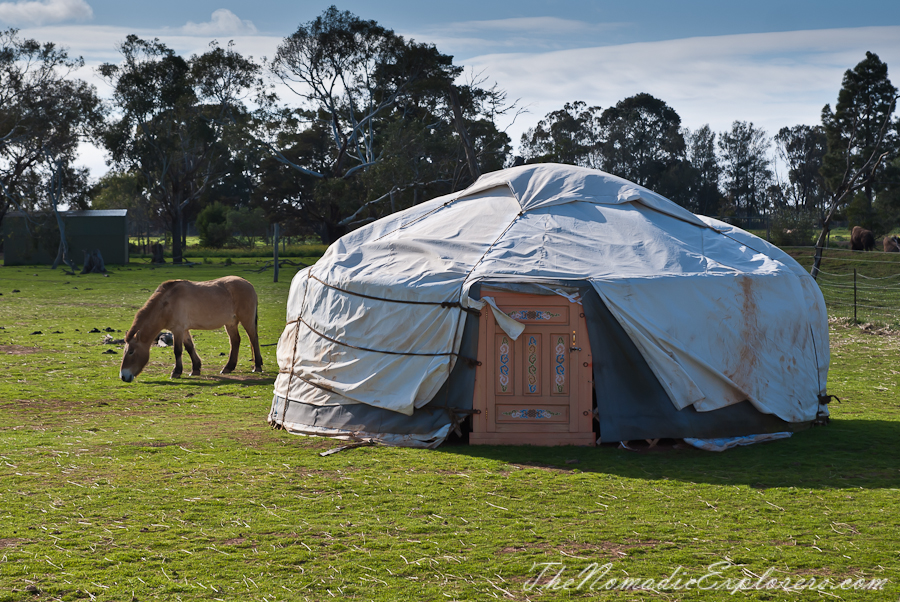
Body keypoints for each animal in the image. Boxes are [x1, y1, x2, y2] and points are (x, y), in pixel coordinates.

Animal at [119, 276, 262, 380]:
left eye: (131, 351)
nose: (123, 376)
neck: (167, 302)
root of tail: (248, 284)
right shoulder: (184, 330)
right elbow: (189, 347)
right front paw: (196, 369)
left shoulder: (178, 329)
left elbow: (177, 350)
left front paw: (176, 372)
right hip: (230, 323)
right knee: (235, 341)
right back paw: (228, 367)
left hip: (247, 320)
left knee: (253, 339)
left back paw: (258, 366)